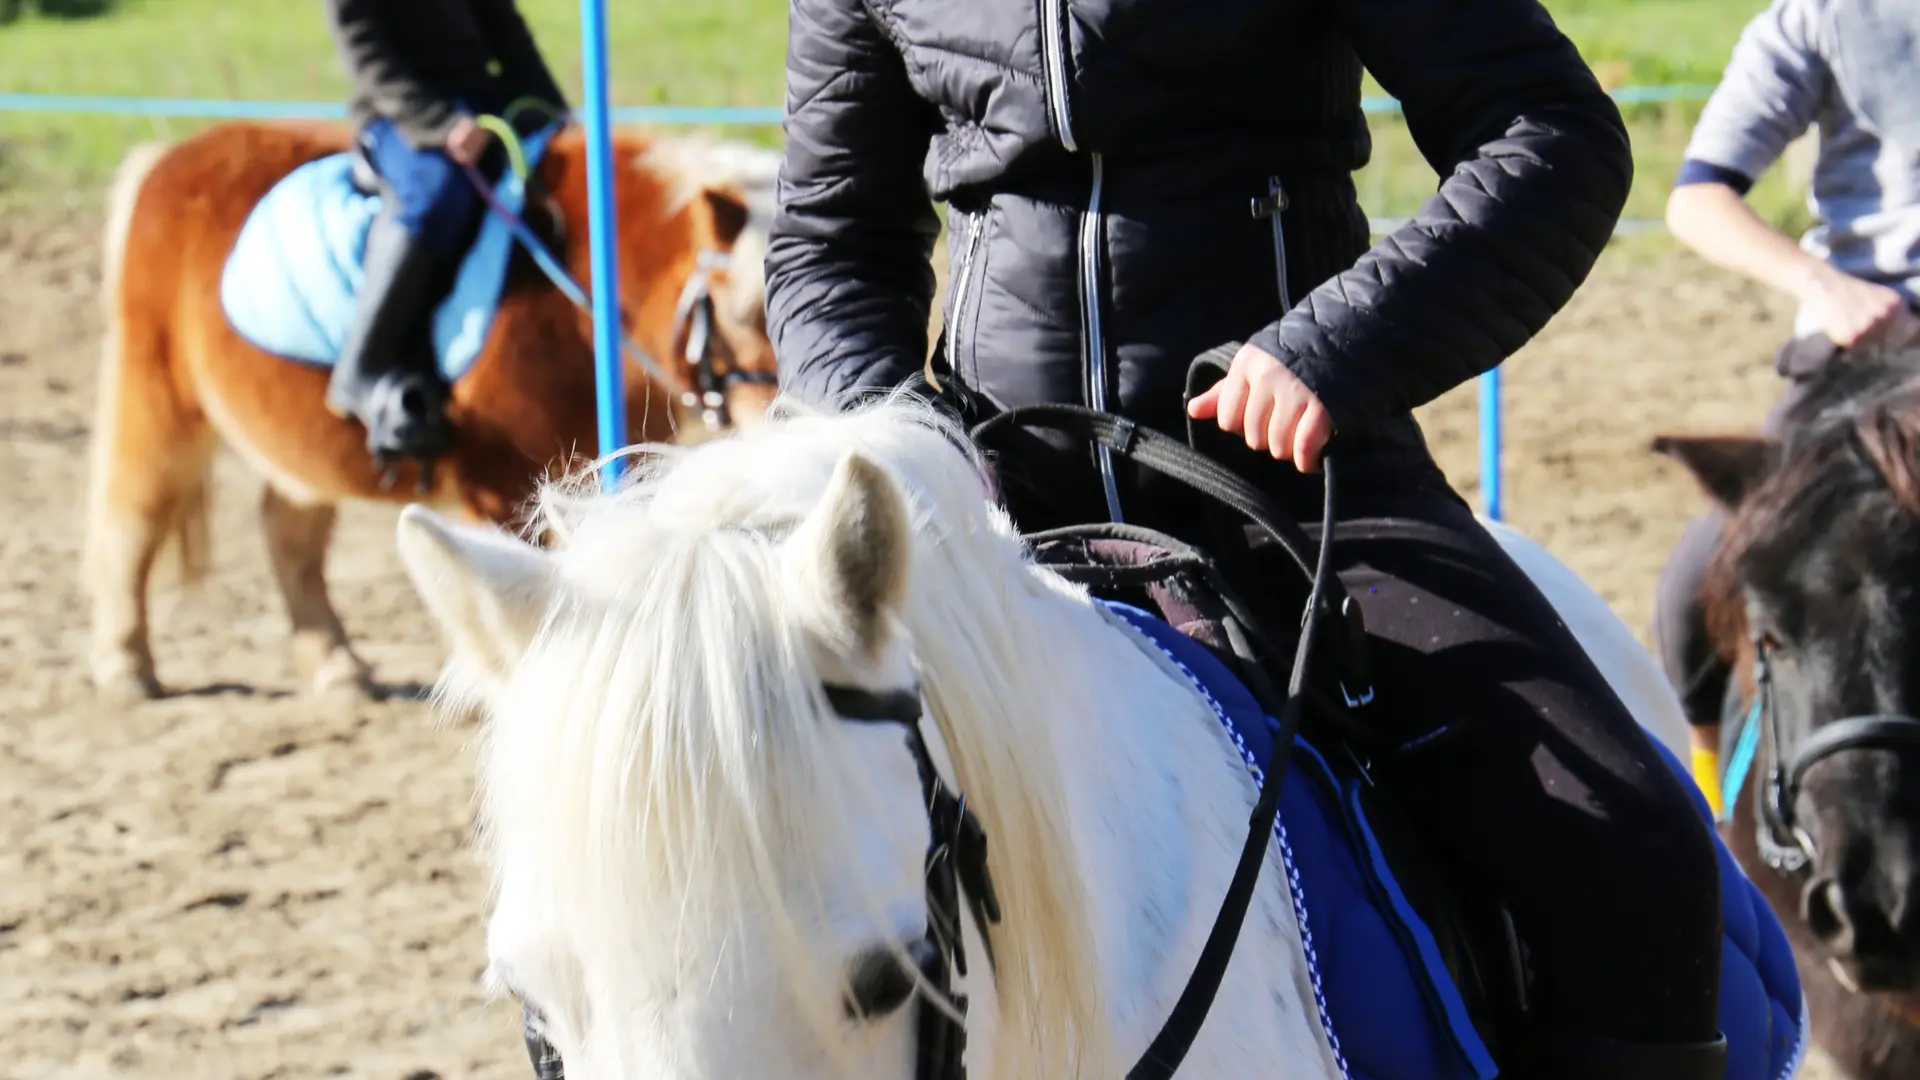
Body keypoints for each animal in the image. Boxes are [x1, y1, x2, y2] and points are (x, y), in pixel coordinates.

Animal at [84, 122, 779, 703]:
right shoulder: (502, 489)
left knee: (288, 533)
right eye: (743, 313)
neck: (573, 301)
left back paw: (334, 665)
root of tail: (165, 158)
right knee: (132, 519)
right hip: (162, 402)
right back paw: (126, 666)